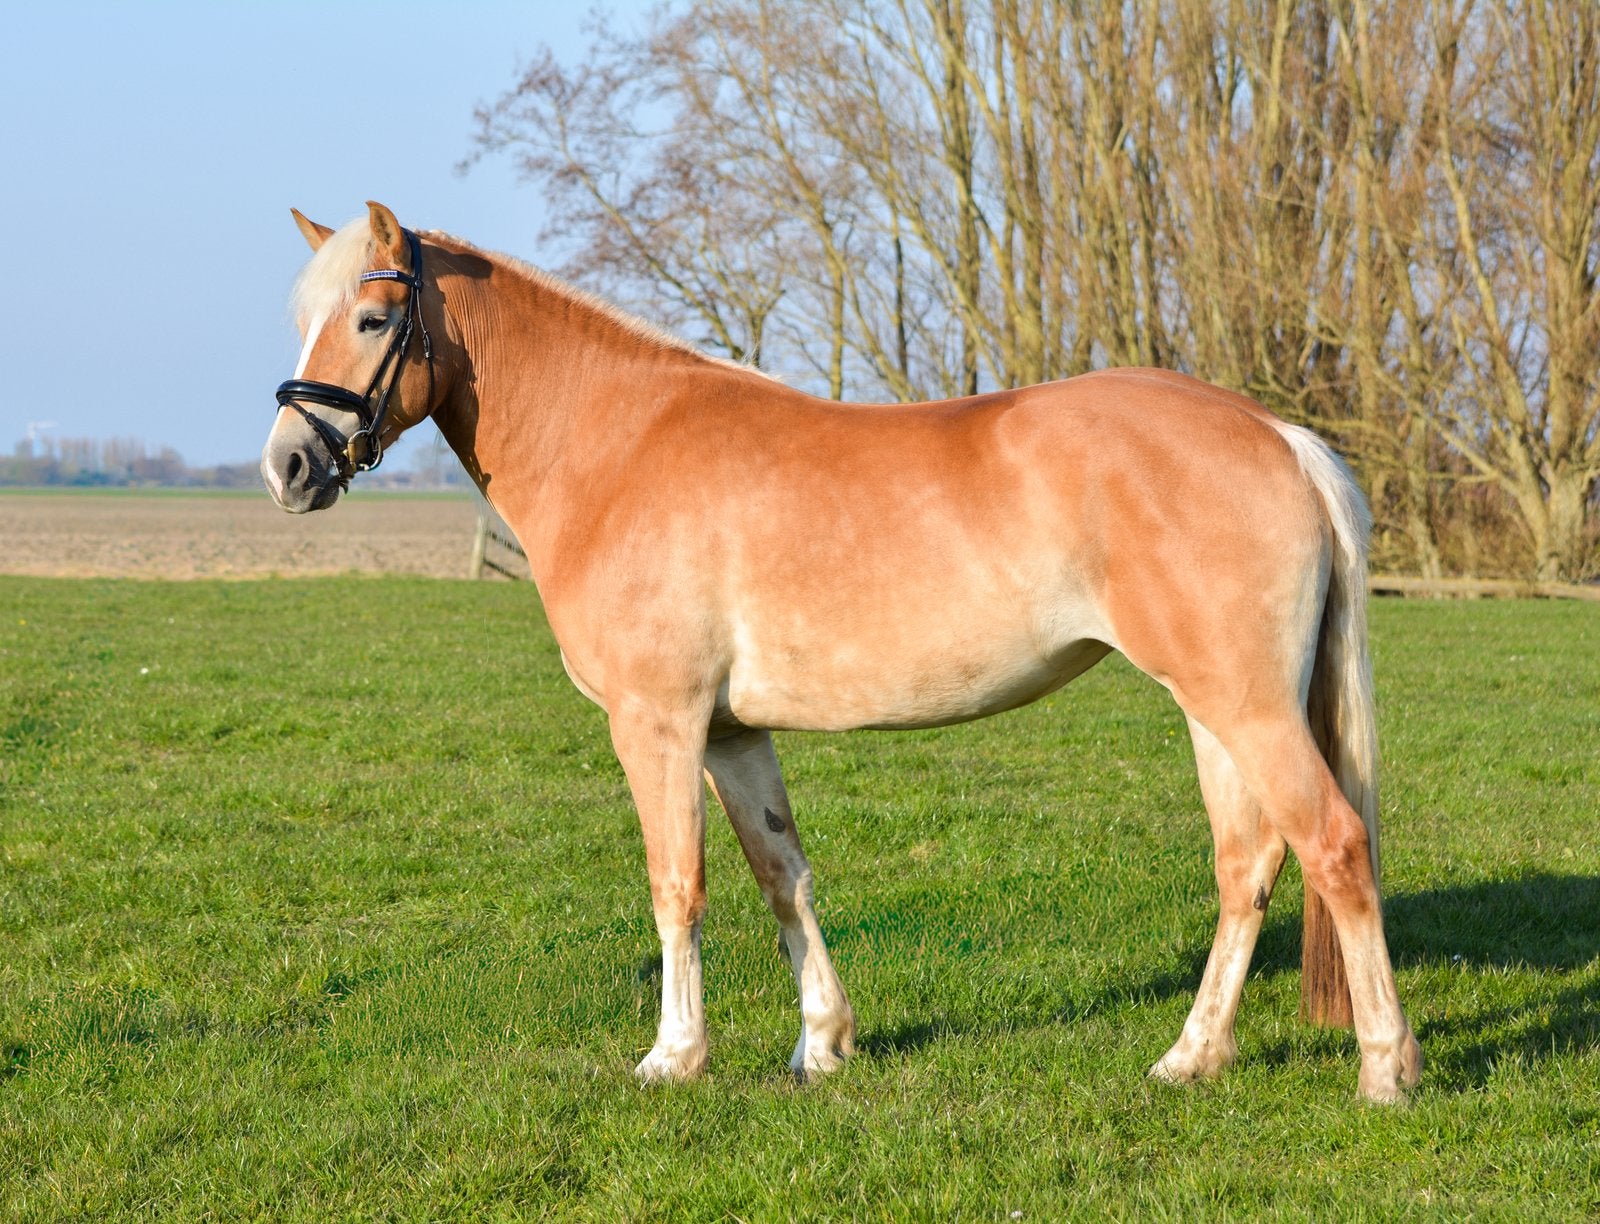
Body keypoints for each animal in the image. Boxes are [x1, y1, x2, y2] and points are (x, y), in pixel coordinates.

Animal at [261, 201, 1420, 1102]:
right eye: (302, 319)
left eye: (371, 318)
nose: (288, 466)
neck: (617, 445)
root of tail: (1279, 438)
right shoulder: (731, 735)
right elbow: (782, 875)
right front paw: (822, 1043)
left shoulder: (658, 723)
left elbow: (675, 884)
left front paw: (674, 1057)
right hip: (1214, 704)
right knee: (1248, 863)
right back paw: (1192, 1058)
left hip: (1245, 703)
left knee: (1333, 845)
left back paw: (1383, 1068)